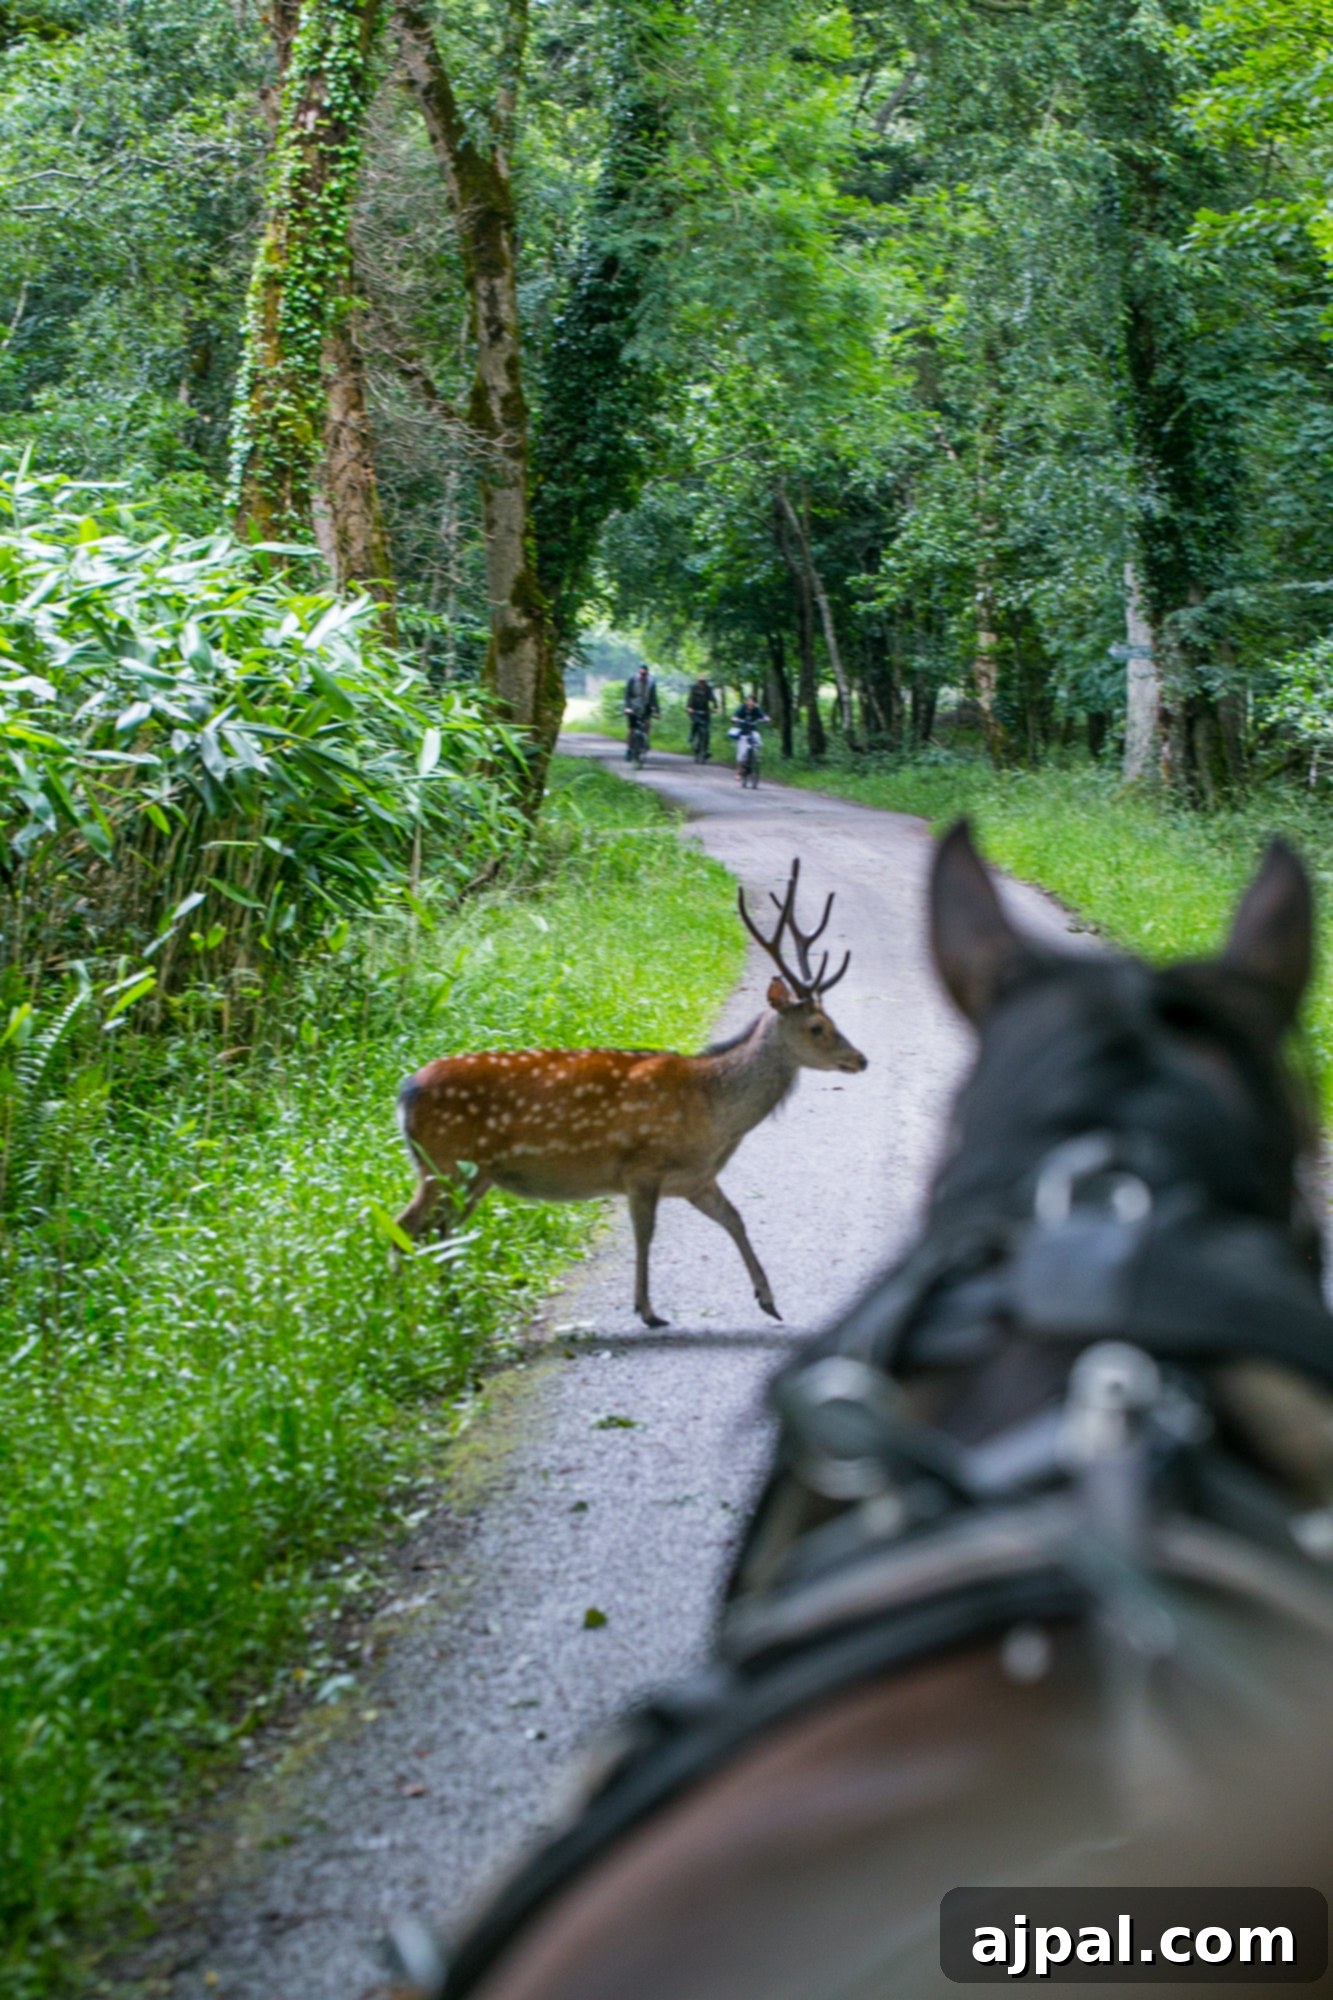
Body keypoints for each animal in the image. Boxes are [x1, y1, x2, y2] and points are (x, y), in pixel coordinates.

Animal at [393, 859, 868, 1327]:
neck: (714, 1115)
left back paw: (447, 1309)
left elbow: (735, 1219)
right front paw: (648, 1310)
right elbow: (646, 1234)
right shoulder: (642, 1167)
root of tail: (404, 1093)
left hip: (474, 1175)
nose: (861, 1059)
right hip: (445, 1163)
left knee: (441, 1232)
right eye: (817, 1027)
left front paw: (768, 1300)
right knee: (408, 1228)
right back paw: (400, 1317)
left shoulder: (696, 1179)